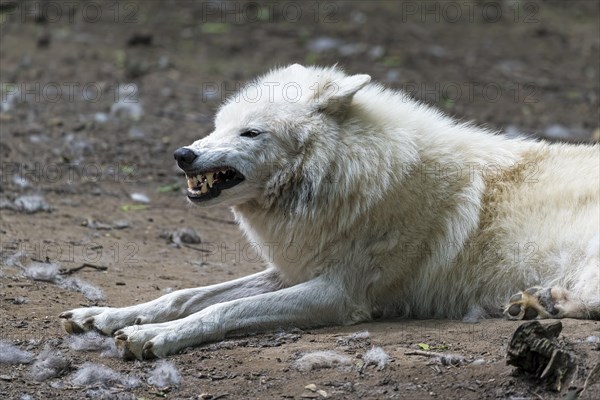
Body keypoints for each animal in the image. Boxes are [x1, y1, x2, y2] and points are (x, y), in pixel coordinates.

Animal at [62, 65, 600, 360]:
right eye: (219, 126)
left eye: (251, 133)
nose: (184, 154)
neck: (346, 176)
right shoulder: (293, 269)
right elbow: (185, 295)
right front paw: (105, 316)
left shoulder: (339, 294)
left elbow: (221, 308)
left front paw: (152, 337)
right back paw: (532, 304)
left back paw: (546, 304)